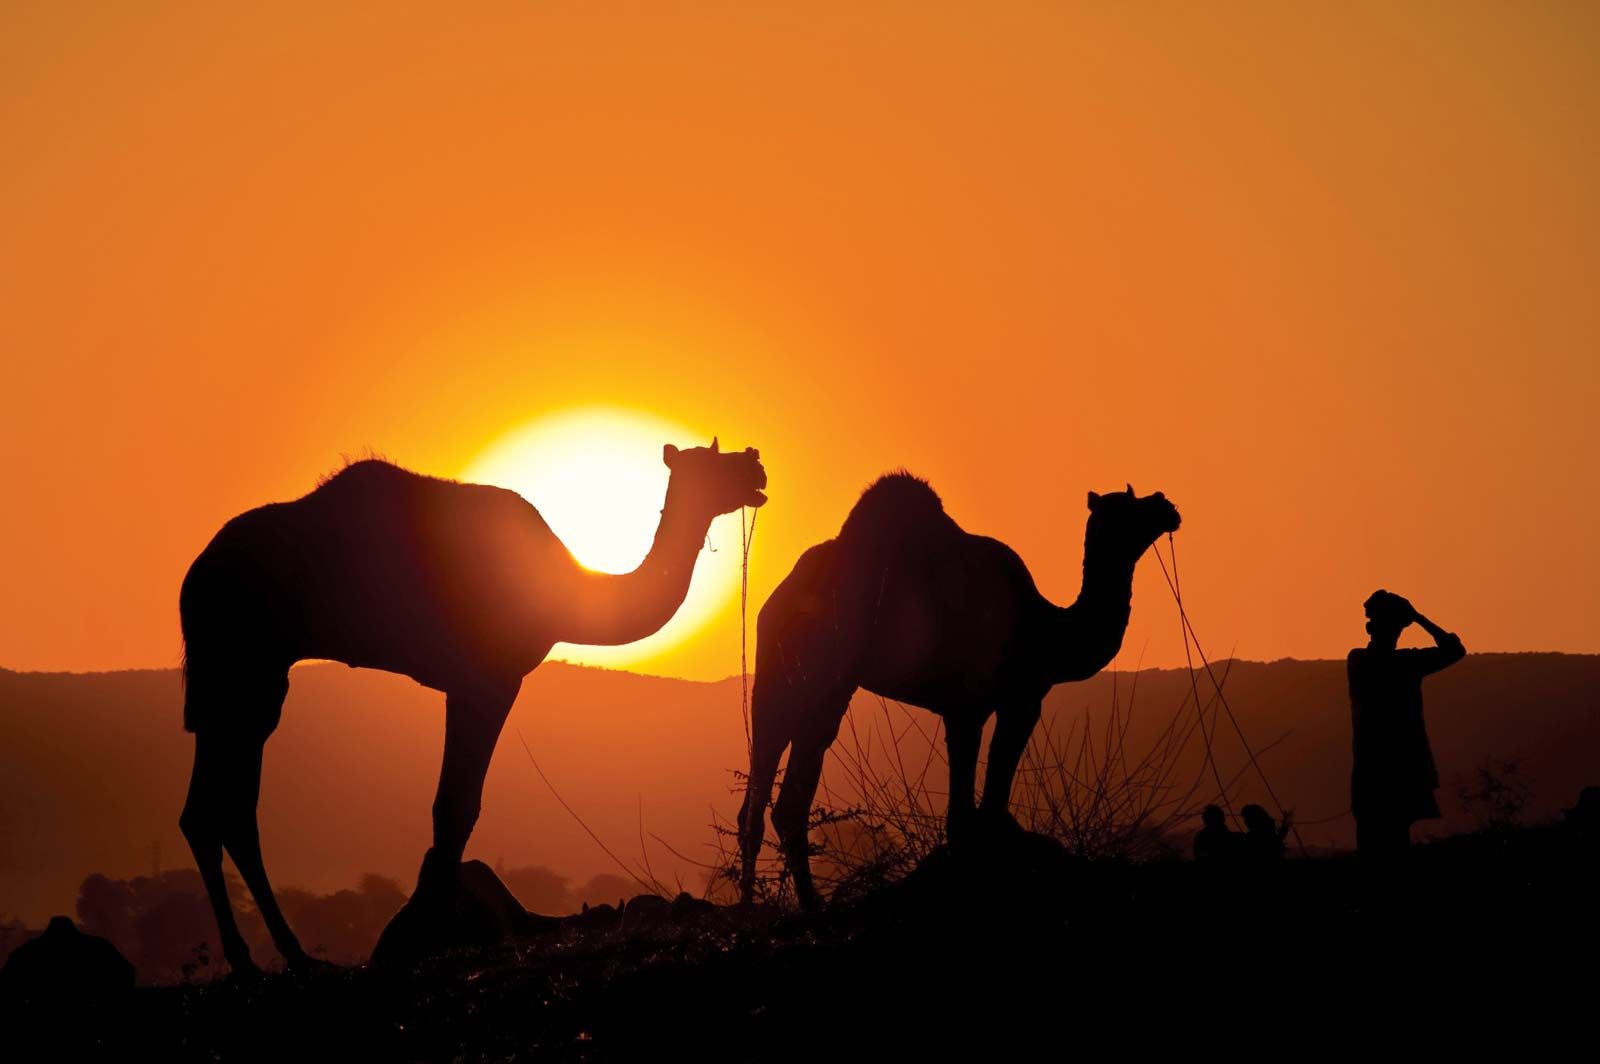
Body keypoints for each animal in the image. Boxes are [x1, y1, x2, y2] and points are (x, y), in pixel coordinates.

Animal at [178, 439, 766, 974]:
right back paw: (271, 959)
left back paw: (277, 958)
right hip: (242, 664)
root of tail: (194, 575)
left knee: (217, 809)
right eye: (710, 463)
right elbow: (456, 806)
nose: (755, 464)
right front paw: (428, 936)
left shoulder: (471, 682)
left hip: (247, 675)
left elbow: (453, 806)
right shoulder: (486, 678)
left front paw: (427, 932)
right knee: (222, 806)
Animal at [736, 475, 1179, 908]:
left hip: (797, 683)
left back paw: (769, 903)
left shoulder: (999, 702)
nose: (1167, 504)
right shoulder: (993, 703)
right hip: (816, 676)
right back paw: (802, 906)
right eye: (1129, 505)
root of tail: (775, 601)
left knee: (768, 792)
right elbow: (973, 800)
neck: (1042, 627)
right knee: (784, 791)